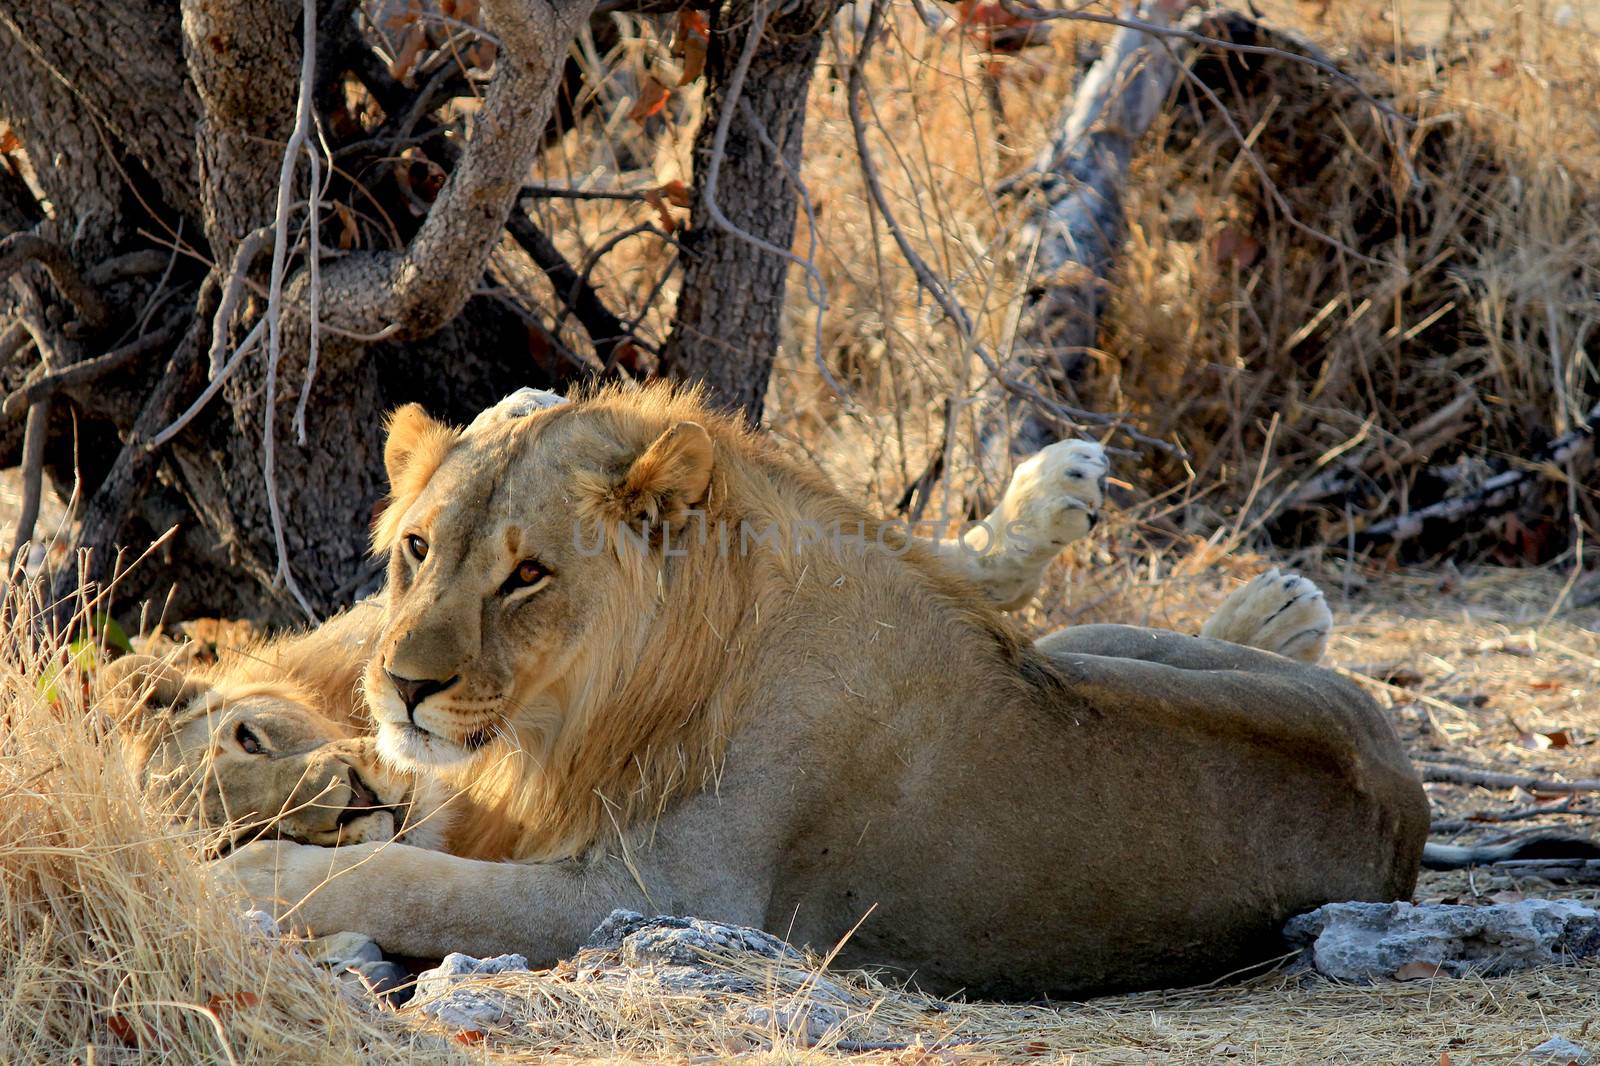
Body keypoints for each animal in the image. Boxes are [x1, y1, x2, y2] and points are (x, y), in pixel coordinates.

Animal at [103, 385, 1427, 998]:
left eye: (528, 574)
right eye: (417, 548)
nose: (404, 689)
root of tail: (1411, 811)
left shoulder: (665, 898)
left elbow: (394, 873)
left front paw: (251, 876)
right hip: (1105, 647)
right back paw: (1269, 606)